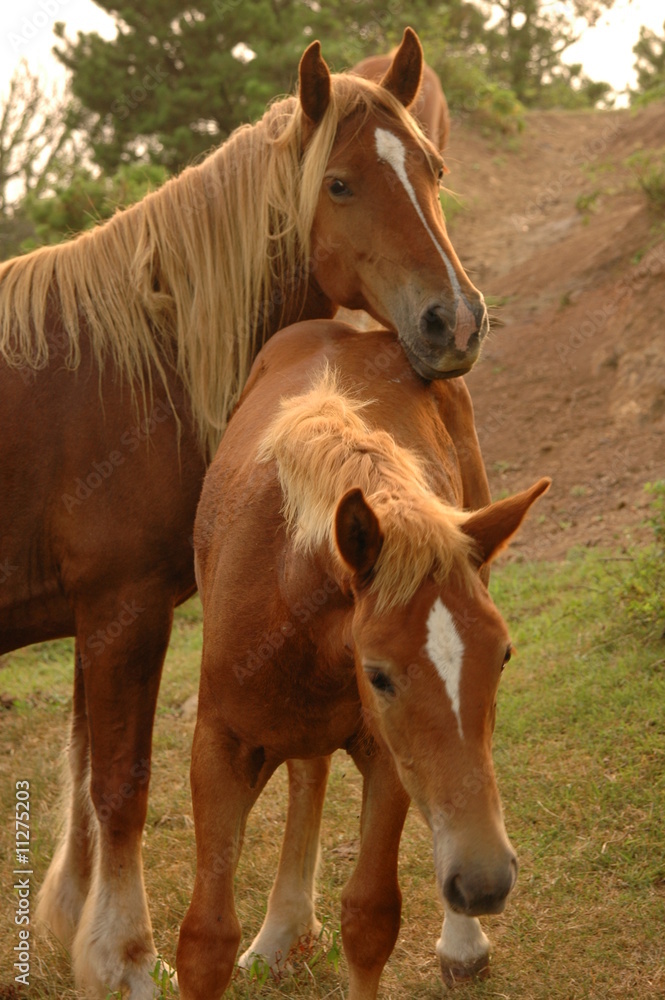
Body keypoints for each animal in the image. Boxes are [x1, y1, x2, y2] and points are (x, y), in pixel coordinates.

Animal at [0, 28, 490, 998]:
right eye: (338, 184)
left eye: (432, 168)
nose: (453, 322)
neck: (127, 360)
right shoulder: (122, 608)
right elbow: (117, 785)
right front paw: (123, 958)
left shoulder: (96, 612)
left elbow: (87, 773)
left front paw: (78, 931)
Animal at [177, 318, 550, 999]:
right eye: (377, 675)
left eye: (503, 656)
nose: (487, 881)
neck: (285, 582)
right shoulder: (218, 747)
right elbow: (205, 942)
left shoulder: (386, 755)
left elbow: (371, 916)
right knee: (309, 772)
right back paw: (279, 933)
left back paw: (460, 941)